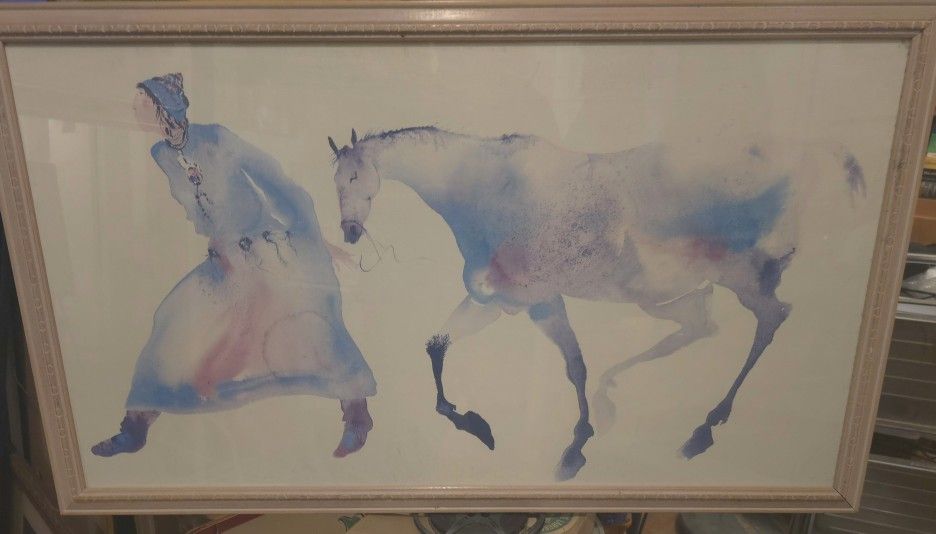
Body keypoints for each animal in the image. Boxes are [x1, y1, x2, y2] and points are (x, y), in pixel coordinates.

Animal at [326, 126, 864, 480]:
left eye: (353, 178)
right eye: (336, 182)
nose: (349, 232)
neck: (488, 190)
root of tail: (812, 151)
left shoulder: (539, 302)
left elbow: (575, 367)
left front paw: (573, 449)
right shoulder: (496, 302)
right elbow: (436, 346)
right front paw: (477, 425)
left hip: (742, 277)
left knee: (768, 319)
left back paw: (703, 428)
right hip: (661, 295)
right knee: (701, 321)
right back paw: (626, 396)